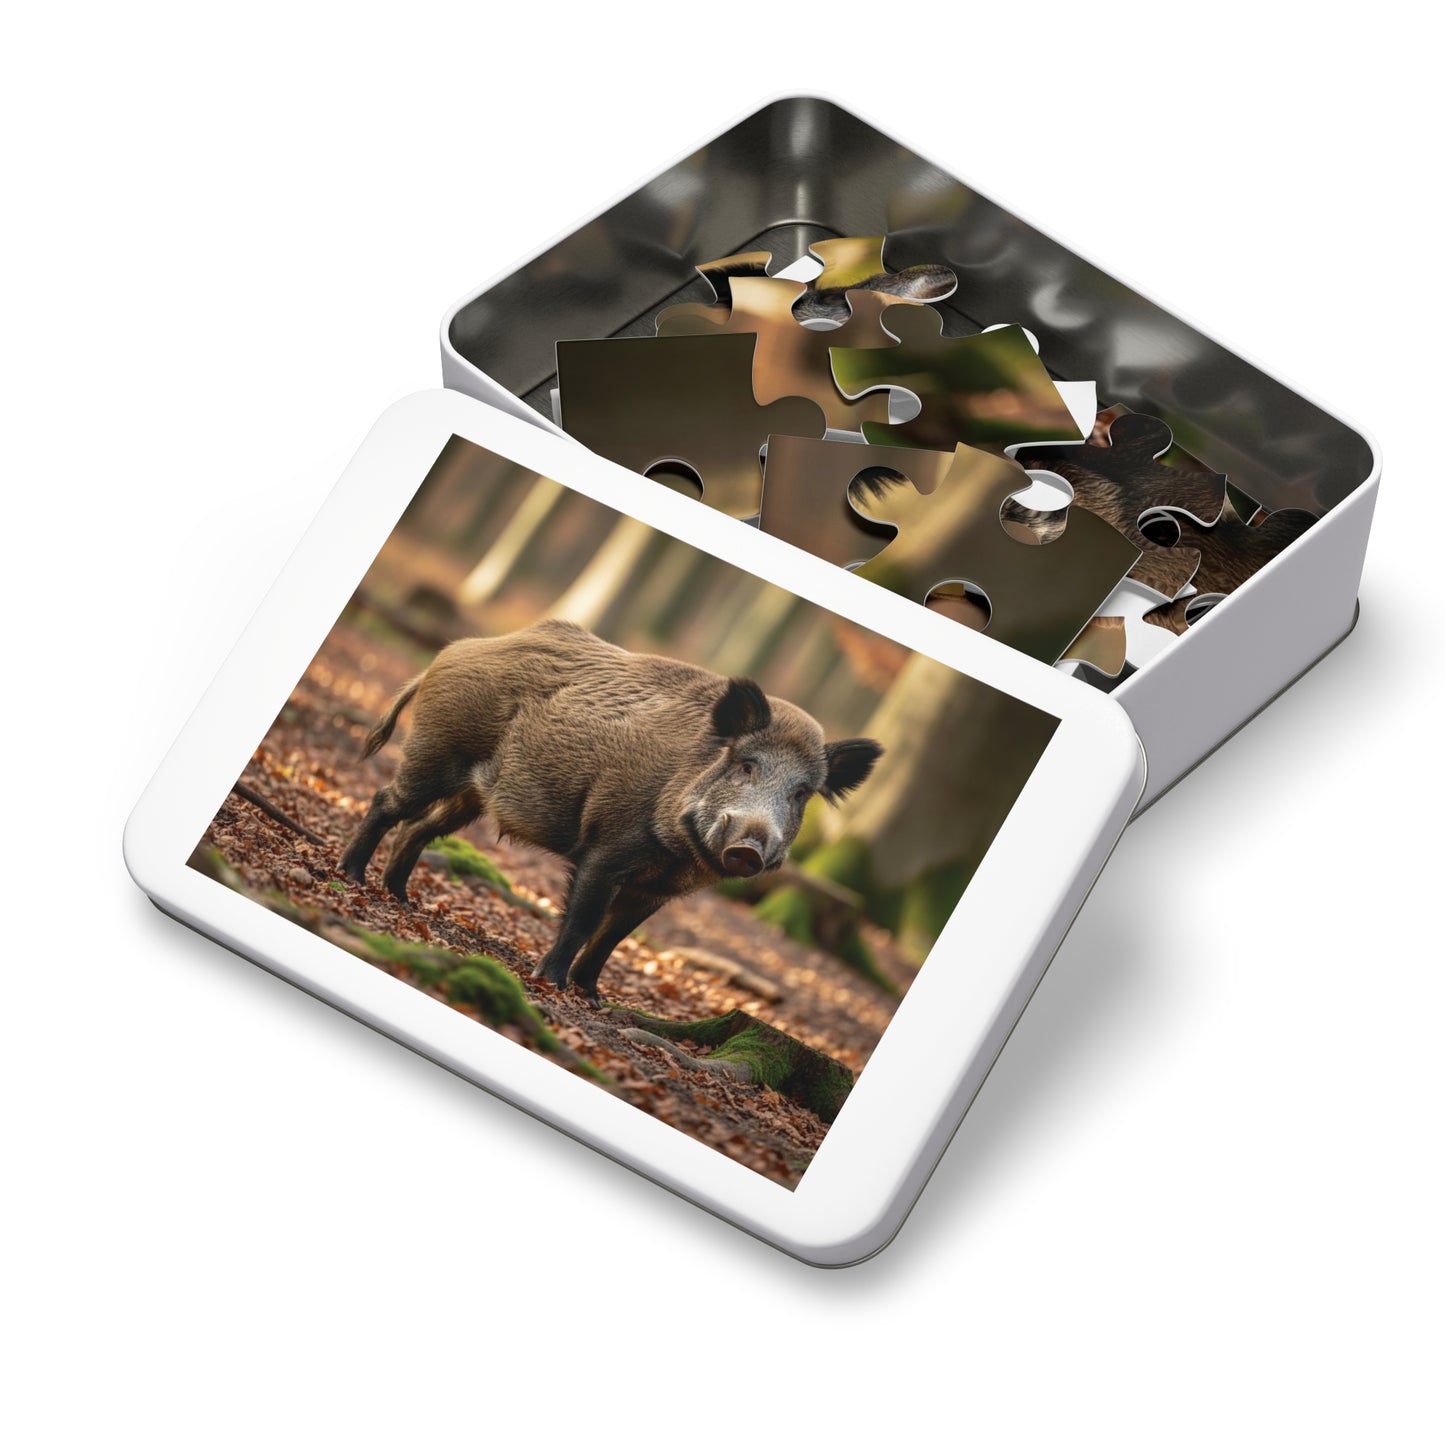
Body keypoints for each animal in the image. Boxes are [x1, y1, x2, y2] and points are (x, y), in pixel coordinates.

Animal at [338, 620, 882, 1000]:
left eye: (801, 793)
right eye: (746, 764)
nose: (748, 847)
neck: (677, 853)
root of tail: (452, 651)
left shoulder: (659, 889)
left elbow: (613, 938)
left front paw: (593, 998)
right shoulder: (608, 846)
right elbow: (584, 920)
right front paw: (552, 985)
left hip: (470, 793)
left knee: (420, 827)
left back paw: (401, 898)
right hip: (436, 749)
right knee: (387, 801)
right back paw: (351, 876)